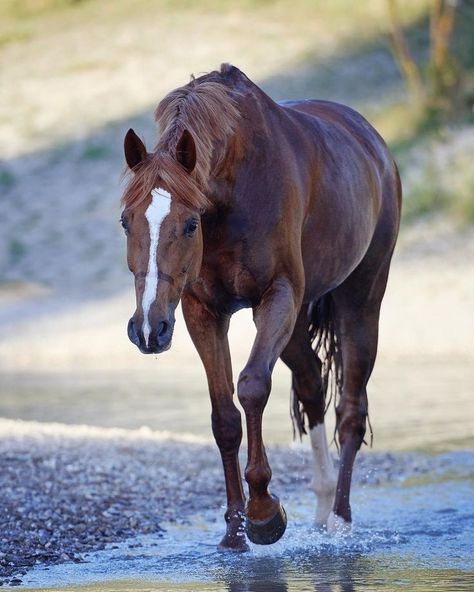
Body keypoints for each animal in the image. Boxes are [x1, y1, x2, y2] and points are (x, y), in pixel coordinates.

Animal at [120, 65, 402, 552]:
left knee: (350, 410)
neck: (234, 191)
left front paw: (264, 512)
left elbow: (251, 387)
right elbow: (224, 416)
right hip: (295, 325)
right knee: (312, 386)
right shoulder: (201, 312)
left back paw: (339, 520)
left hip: (361, 300)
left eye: (189, 223)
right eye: (125, 222)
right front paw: (234, 531)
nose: (149, 329)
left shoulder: (277, 296)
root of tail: (375, 145)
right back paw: (322, 507)